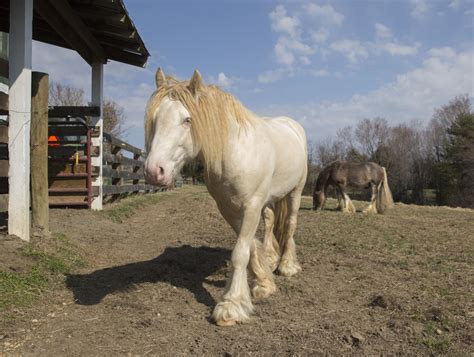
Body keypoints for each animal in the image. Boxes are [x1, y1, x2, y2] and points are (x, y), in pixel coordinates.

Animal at [144, 68, 308, 326]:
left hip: (296, 192)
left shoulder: (251, 206)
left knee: (290, 225)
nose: (153, 171)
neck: (236, 151)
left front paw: (231, 306)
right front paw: (263, 283)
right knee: (271, 220)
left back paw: (287, 265)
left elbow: (240, 252)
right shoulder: (228, 208)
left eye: (187, 120)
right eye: (155, 119)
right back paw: (272, 258)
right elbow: (250, 245)